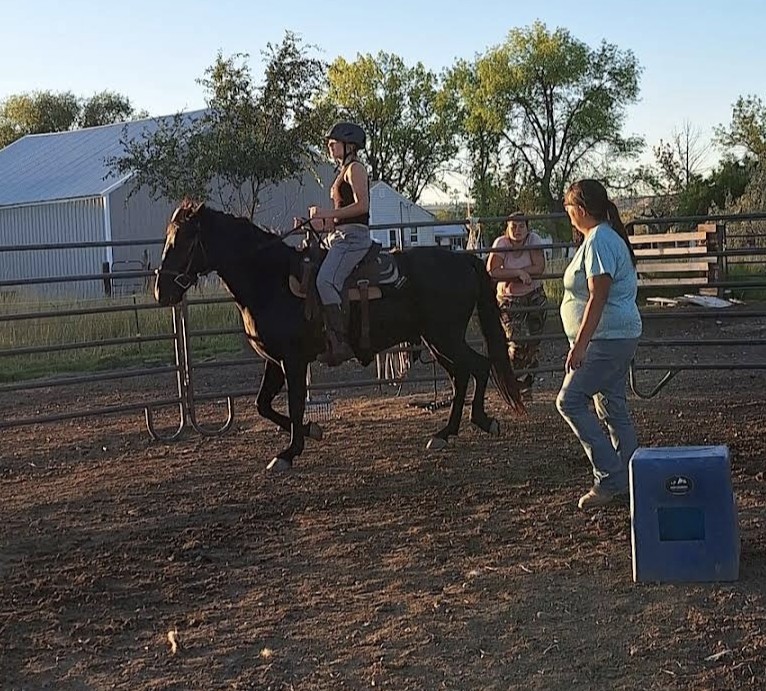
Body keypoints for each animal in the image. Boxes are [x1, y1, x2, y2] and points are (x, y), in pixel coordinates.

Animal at [155, 200, 525, 470]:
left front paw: (289, 452)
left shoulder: (293, 361)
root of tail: (463, 259)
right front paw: (310, 431)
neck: (271, 280)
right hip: (436, 341)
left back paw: (477, 423)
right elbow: (263, 405)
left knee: (477, 367)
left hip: (444, 337)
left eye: (182, 240)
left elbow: (294, 403)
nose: (161, 292)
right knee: (463, 374)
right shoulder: (274, 361)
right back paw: (447, 432)